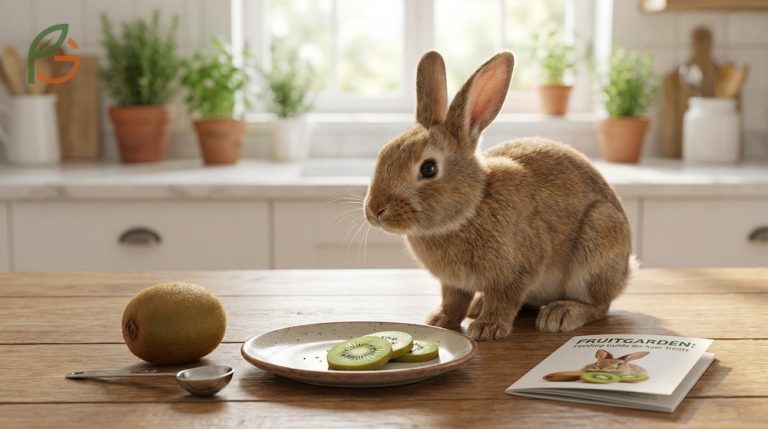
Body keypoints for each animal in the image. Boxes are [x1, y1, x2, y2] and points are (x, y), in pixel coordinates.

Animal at [363, 51, 633, 341]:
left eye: (428, 168)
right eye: (384, 153)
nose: (374, 210)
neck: (472, 208)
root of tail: (627, 270)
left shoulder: (519, 269)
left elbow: (505, 299)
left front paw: (487, 328)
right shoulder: (453, 284)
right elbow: (453, 300)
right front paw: (440, 321)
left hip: (598, 243)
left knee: (600, 305)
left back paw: (561, 314)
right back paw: (479, 304)